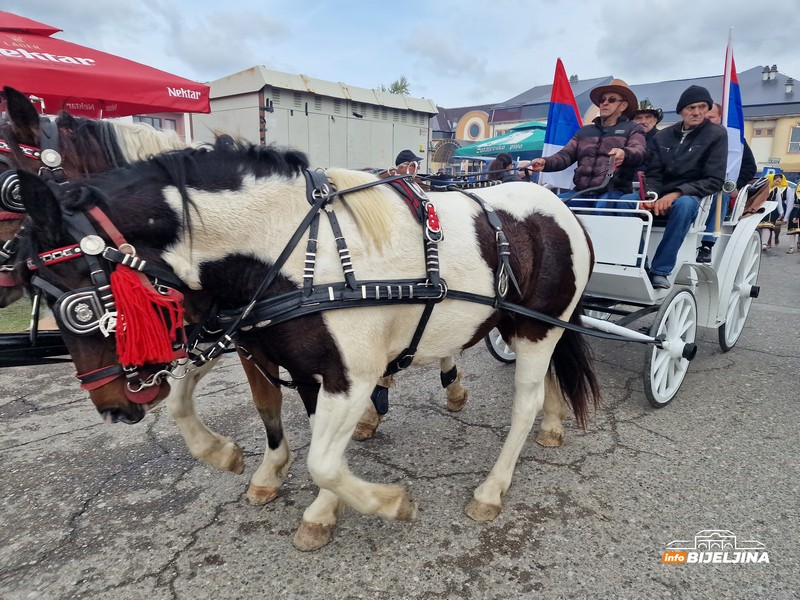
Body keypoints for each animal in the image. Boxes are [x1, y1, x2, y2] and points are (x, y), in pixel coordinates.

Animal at [15, 141, 600, 548]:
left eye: (79, 305)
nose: (115, 408)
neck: (289, 254)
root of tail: (558, 207)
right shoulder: (259, 345)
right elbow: (202, 402)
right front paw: (229, 455)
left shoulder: (351, 375)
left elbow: (324, 458)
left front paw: (378, 504)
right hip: (529, 326)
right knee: (549, 375)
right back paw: (550, 425)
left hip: (536, 326)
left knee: (524, 402)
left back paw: (492, 487)